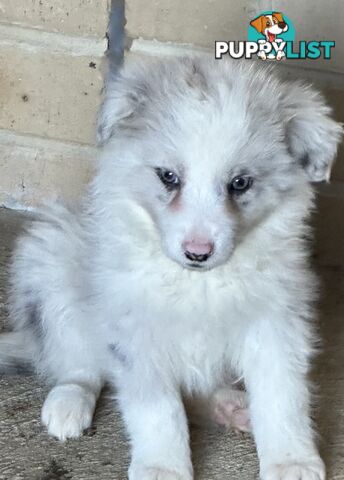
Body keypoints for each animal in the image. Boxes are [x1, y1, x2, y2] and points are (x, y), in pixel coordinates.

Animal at [1, 54, 342, 478]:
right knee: (77, 361)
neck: (199, 283)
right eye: (168, 177)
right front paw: (162, 467)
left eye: (240, 183)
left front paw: (291, 460)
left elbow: (283, 396)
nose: (198, 253)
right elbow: (159, 411)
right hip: (51, 262)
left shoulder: (275, 323)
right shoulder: (136, 331)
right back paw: (68, 402)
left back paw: (230, 406)